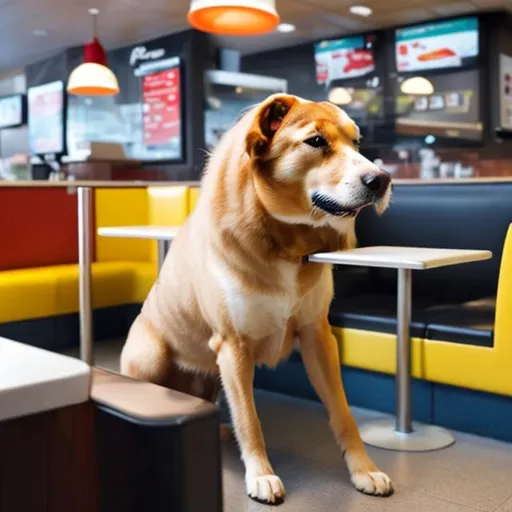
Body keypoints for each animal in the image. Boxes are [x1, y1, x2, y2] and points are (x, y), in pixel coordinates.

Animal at [120, 94, 392, 506]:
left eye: (357, 143)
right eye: (315, 141)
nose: (382, 179)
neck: (284, 241)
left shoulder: (318, 336)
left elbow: (343, 413)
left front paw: (365, 470)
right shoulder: (234, 346)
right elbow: (249, 419)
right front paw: (261, 475)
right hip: (151, 356)